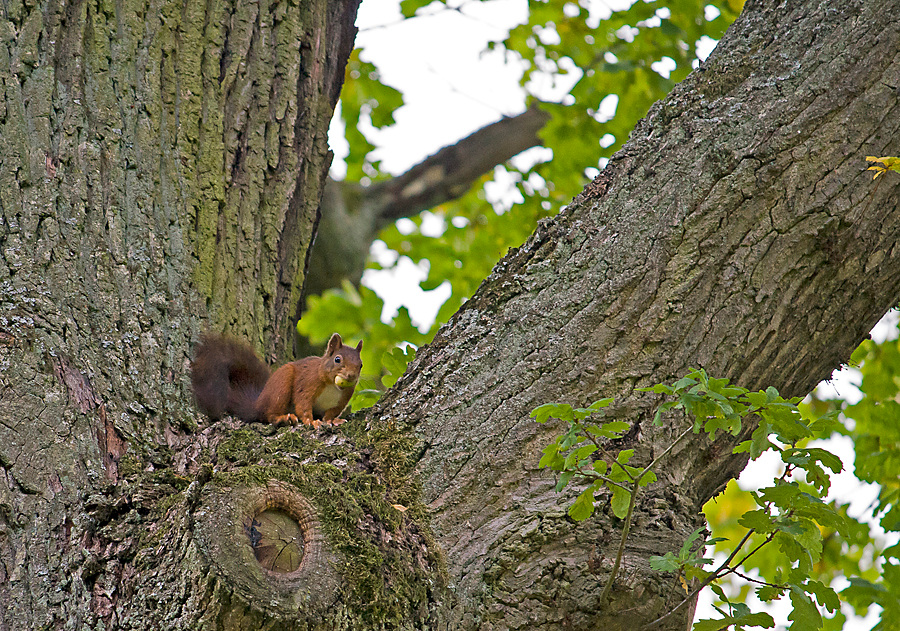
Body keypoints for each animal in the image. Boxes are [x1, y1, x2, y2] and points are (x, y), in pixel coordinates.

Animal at [192, 330, 362, 430]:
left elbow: (331, 412)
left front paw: (333, 421)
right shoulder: (308, 383)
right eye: (337, 359)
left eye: (361, 365)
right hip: (281, 385)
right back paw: (283, 418)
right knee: (269, 415)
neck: (333, 386)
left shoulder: (342, 399)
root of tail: (257, 404)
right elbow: (303, 404)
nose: (351, 376)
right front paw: (311, 421)